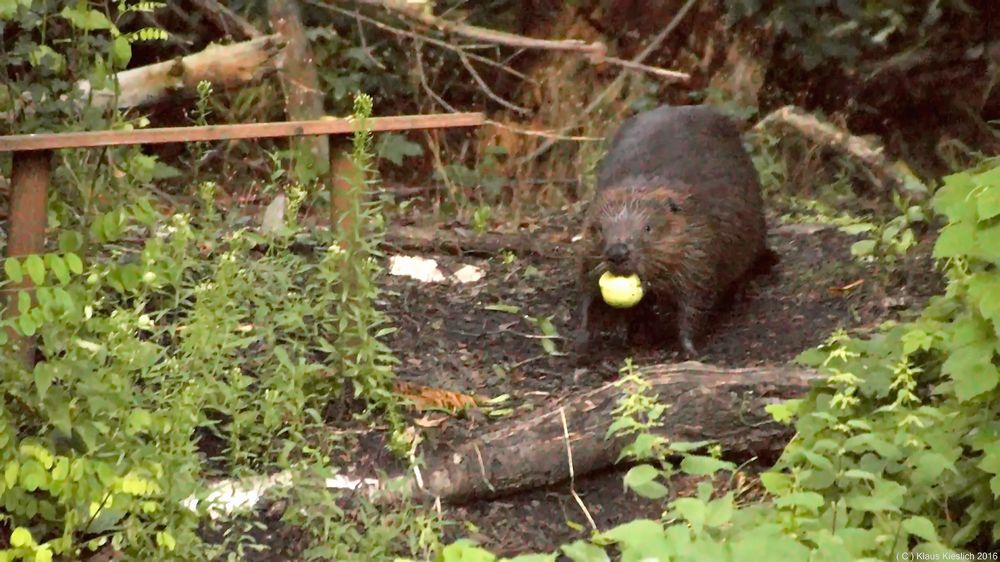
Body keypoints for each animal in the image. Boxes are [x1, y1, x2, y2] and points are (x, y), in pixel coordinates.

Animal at [576, 103, 776, 356]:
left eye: (648, 228)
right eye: (600, 228)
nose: (618, 252)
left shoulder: (698, 247)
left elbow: (696, 298)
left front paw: (689, 349)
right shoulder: (587, 248)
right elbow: (587, 289)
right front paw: (588, 337)